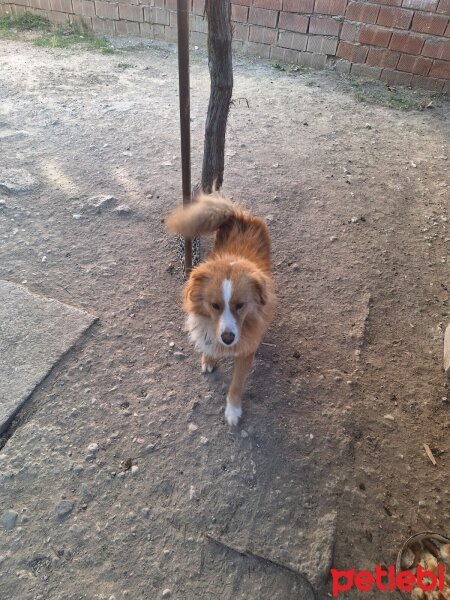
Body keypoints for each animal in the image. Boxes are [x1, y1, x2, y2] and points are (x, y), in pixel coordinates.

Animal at [165, 193, 274, 426]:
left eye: (240, 305)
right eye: (215, 306)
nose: (227, 338)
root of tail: (240, 215)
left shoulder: (246, 351)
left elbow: (236, 384)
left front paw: (233, 410)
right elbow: (208, 343)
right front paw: (208, 358)